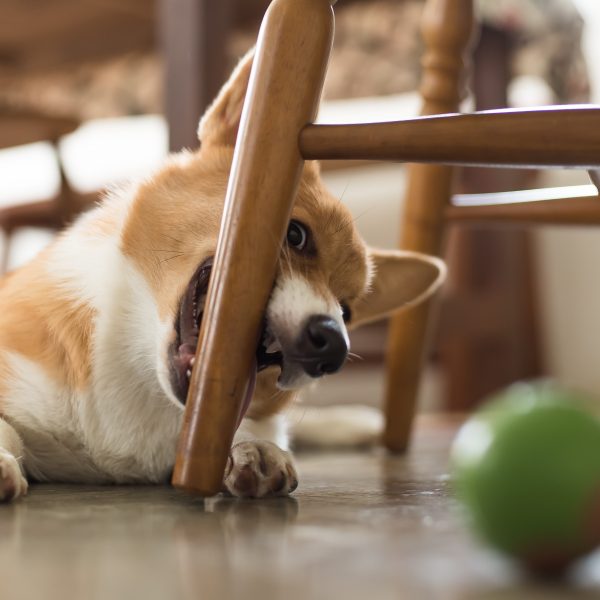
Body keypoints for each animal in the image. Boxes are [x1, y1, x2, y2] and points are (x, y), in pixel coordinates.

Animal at [0, 54, 446, 500]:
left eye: (347, 310)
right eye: (296, 235)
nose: (334, 347)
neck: (141, 369)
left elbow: (255, 426)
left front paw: (256, 450)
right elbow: (9, 429)